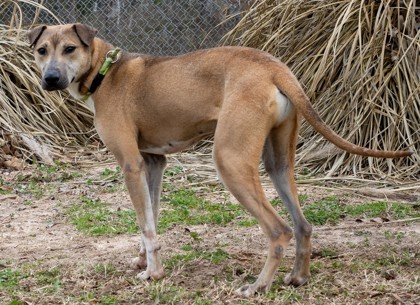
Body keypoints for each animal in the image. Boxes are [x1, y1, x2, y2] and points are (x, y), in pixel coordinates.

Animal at [28, 24, 410, 296]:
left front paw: (152, 273)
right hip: (278, 165)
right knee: (302, 225)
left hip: (230, 162)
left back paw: (258, 286)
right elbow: (150, 220)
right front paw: (144, 260)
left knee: (280, 230)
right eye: (42, 50)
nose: (50, 79)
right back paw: (298, 278)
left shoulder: (130, 165)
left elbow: (147, 227)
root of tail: (273, 67)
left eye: (70, 48)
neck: (105, 70)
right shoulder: (152, 164)